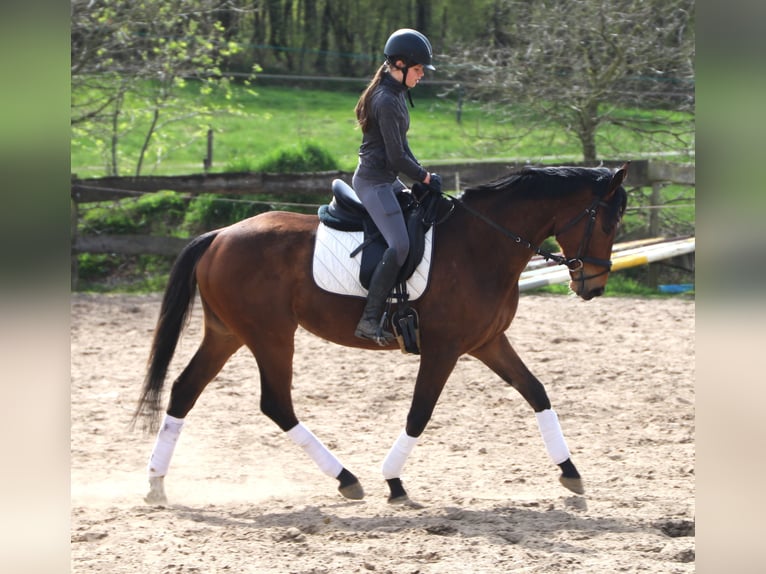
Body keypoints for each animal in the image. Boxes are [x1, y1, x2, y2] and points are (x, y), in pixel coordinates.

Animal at [132, 163, 629, 505]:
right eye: (607, 222)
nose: (594, 286)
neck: (481, 243)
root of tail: (218, 235)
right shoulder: (444, 349)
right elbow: (420, 413)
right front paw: (393, 480)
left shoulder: (488, 343)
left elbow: (537, 392)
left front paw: (570, 471)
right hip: (271, 336)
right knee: (275, 403)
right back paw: (346, 479)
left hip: (227, 333)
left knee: (184, 390)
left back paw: (156, 483)